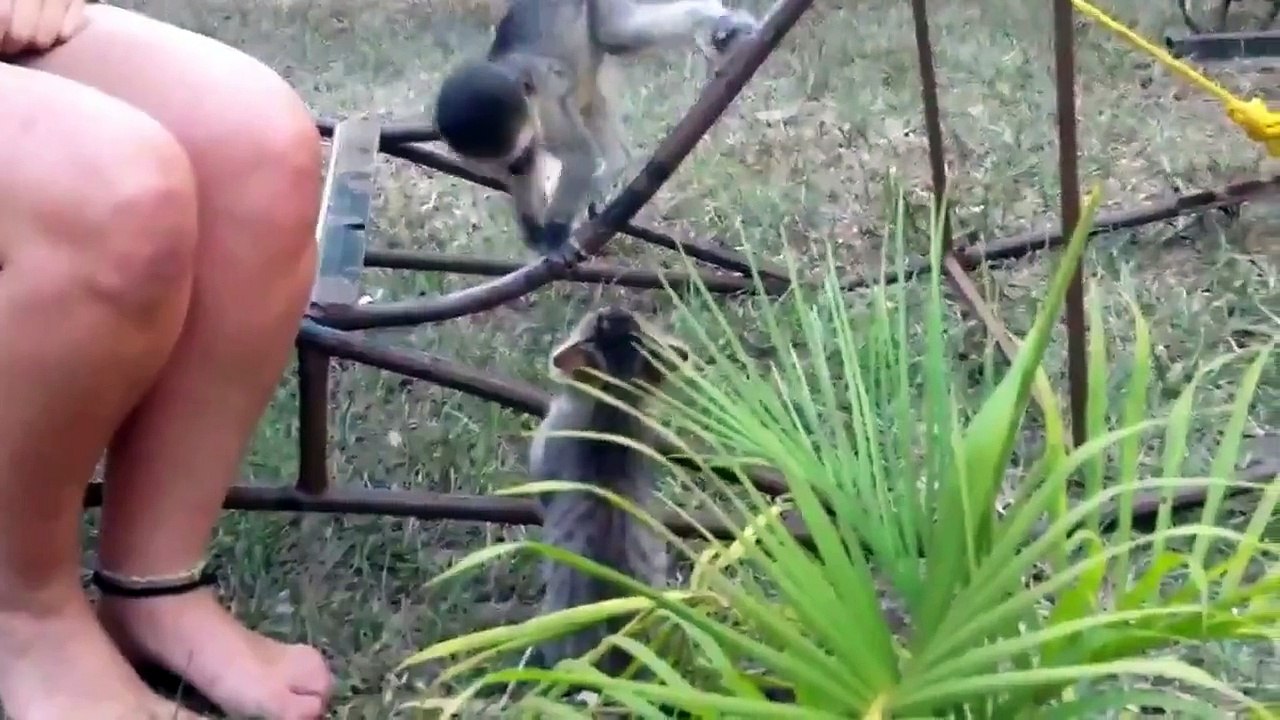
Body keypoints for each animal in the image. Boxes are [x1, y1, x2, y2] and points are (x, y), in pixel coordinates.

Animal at [433, 0, 761, 264]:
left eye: (517, 152)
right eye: (512, 162)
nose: (517, 162)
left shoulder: (546, 106)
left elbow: (579, 157)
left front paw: (555, 239)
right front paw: (536, 235)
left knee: (618, 35)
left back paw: (712, 18)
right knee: (592, 97)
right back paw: (616, 163)